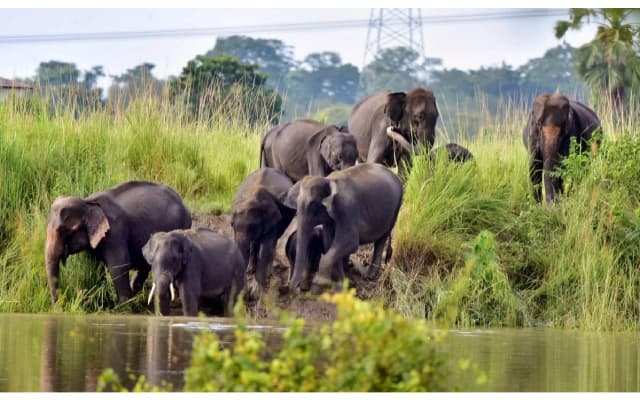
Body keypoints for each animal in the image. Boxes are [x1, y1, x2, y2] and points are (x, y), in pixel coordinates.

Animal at [45, 181, 192, 304]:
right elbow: (94, 266)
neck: (88, 203)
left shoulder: (115, 232)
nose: (60, 307)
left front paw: (124, 308)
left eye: (64, 231)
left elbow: (118, 267)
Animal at [282, 163, 403, 292]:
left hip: (396, 209)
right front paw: (343, 284)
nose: (295, 287)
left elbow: (350, 242)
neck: (328, 180)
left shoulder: (346, 208)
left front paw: (320, 284)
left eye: (313, 205)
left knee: (381, 239)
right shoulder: (330, 219)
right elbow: (330, 244)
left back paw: (369, 276)